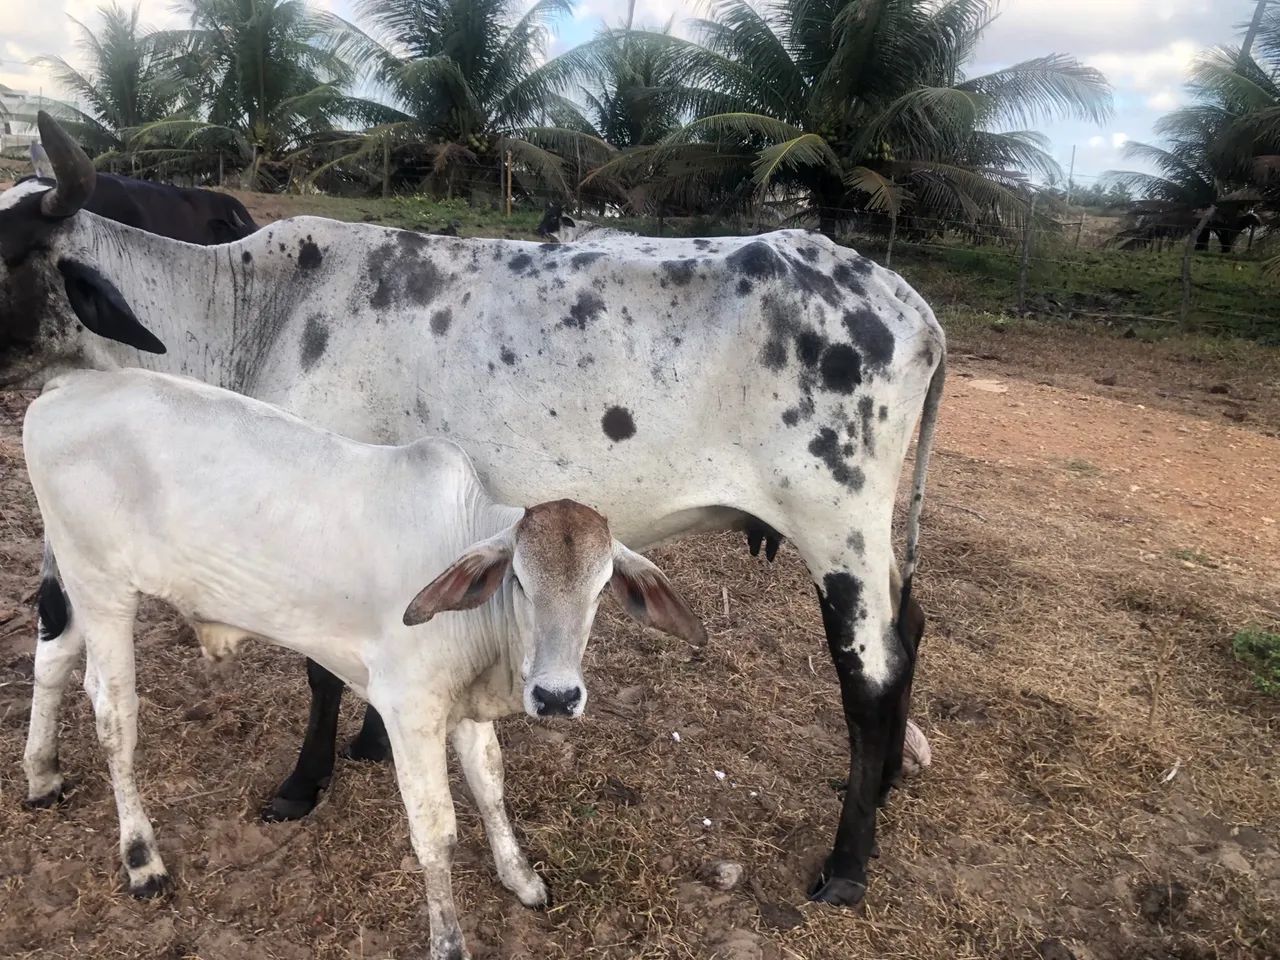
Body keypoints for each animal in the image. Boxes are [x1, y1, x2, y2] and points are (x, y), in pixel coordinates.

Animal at [23, 368, 704, 960]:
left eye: (603, 587)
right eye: (518, 579)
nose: (558, 697)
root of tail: (67, 386)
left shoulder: (463, 708)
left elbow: (490, 782)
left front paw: (521, 877)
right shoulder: (410, 712)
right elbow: (436, 832)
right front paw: (448, 942)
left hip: (80, 585)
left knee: (51, 657)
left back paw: (43, 775)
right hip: (103, 587)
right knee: (113, 714)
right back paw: (142, 859)